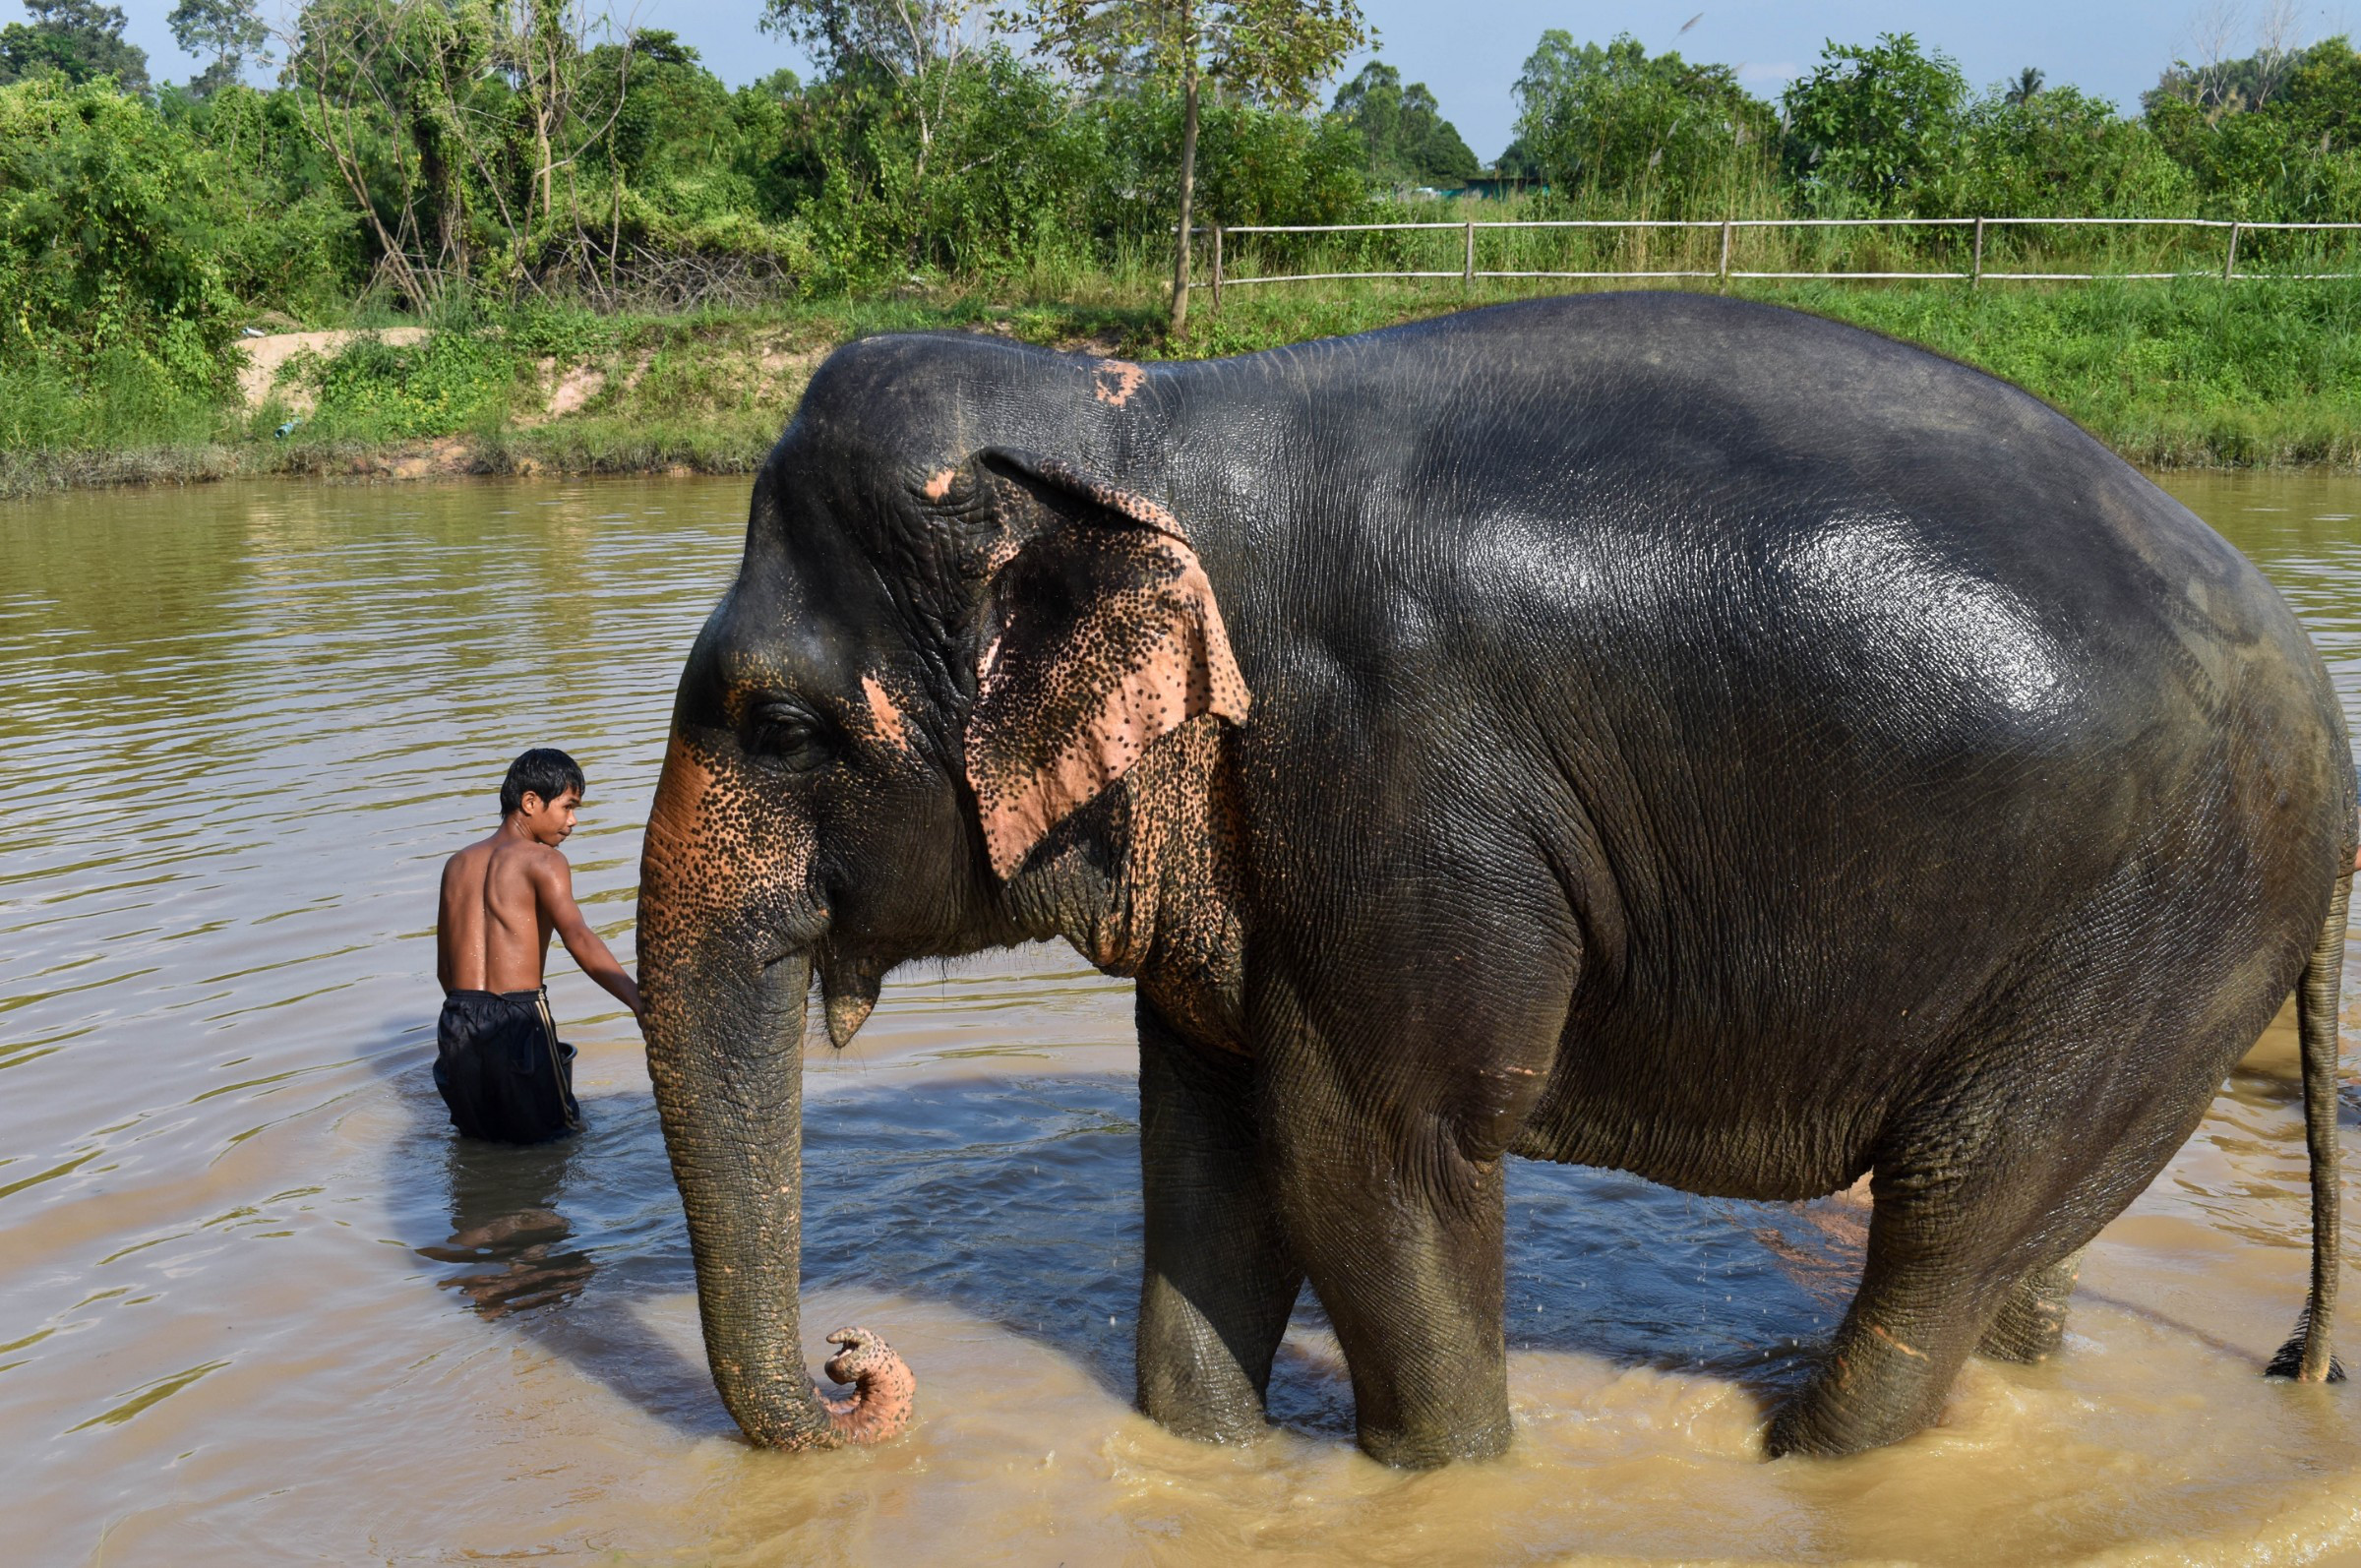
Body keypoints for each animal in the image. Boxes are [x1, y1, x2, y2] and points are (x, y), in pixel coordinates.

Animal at [637, 287, 2351, 1464]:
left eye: (778, 724)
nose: (857, 1366)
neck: (1137, 426)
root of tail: (2322, 704)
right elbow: (1207, 1149)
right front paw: (1215, 1458)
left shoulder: (1392, 781)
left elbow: (1368, 1155)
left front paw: (1443, 1475)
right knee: (2028, 1245)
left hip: (2168, 924)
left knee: (1951, 1216)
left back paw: (1803, 1449)